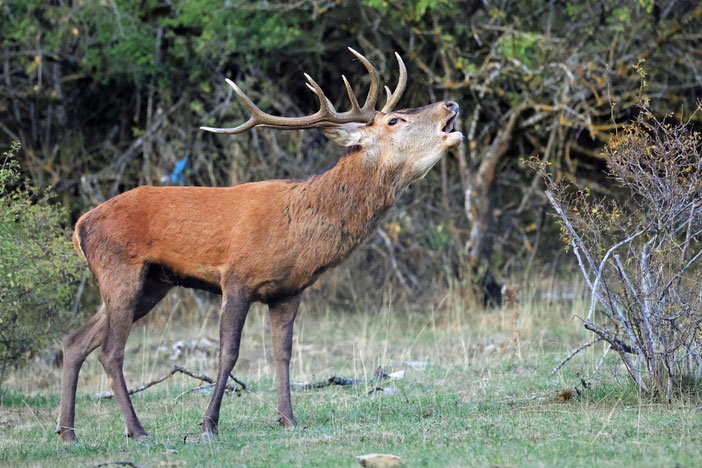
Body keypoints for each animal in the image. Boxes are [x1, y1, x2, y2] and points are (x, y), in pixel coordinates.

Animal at [56, 47, 462, 442]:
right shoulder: (236, 278)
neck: (298, 231)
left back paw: (68, 433)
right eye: (395, 120)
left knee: (75, 340)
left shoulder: (289, 290)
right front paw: (209, 424)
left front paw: (288, 418)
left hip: (153, 283)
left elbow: (283, 353)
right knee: (110, 351)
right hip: (120, 269)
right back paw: (137, 430)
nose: (451, 104)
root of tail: (80, 225)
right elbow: (229, 353)